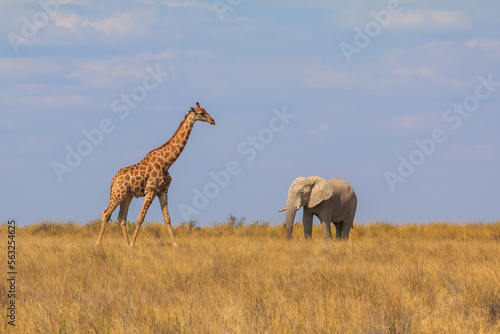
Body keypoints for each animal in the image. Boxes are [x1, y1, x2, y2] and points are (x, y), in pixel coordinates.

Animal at [95, 103, 215, 247]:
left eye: (206, 111)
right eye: (201, 113)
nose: (212, 121)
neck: (167, 163)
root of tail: (114, 178)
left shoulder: (163, 190)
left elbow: (167, 218)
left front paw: (175, 245)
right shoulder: (151, 190)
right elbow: (140, 218)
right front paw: (133, 244)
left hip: (127, 195)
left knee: (121, 217)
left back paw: (125, 244)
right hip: (118, 193)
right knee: (106, 213)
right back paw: (98, 243)